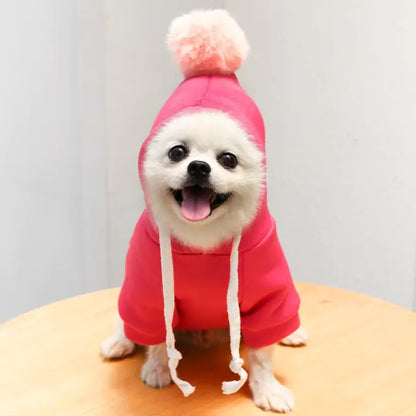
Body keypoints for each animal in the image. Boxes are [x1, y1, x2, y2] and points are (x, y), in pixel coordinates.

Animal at [101, 8, 306, 412]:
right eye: (177, 152)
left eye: (228, 159)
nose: (198, 167)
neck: (203, 244)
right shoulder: (148, 291)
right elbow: (157, 337)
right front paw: (158, 369)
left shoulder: (267, 296)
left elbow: (261, 353)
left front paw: (267, 388)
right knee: (124, 318)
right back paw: (120, 341)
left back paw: (294, 332)